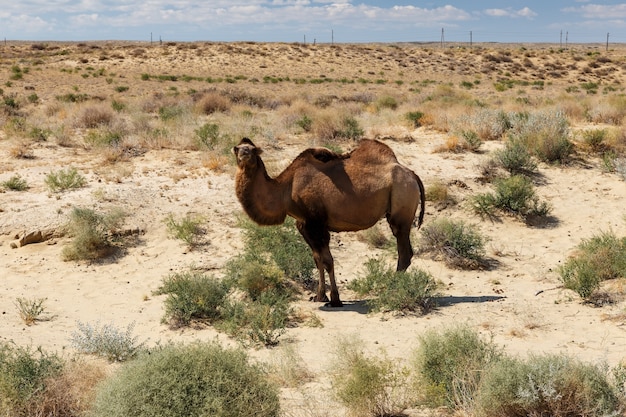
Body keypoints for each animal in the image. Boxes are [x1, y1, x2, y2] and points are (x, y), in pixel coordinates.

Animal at [233, 136, 424, 306]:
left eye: (252, 150)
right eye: (237, 148)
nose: (243, 153)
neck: (286, 190)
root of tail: (413, 175)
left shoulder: (316, 223)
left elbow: (327, 261)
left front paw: (335, 299)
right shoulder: (304, 225)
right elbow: (318, 259)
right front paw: (319, 296)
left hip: (401, 208)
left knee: (404, 252)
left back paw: (391, 289)